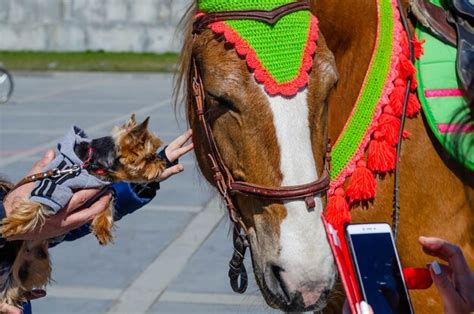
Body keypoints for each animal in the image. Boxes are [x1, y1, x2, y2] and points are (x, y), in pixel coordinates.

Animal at [0, 114, 167, 308]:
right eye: (150, 156)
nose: (162, 162)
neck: (91, 166)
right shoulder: (55, 183)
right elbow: (37, 205)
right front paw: (12, 224)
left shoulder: (104, 191)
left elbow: (107, 205)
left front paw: (102, 229)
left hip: (34, 264)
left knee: (15, 283)